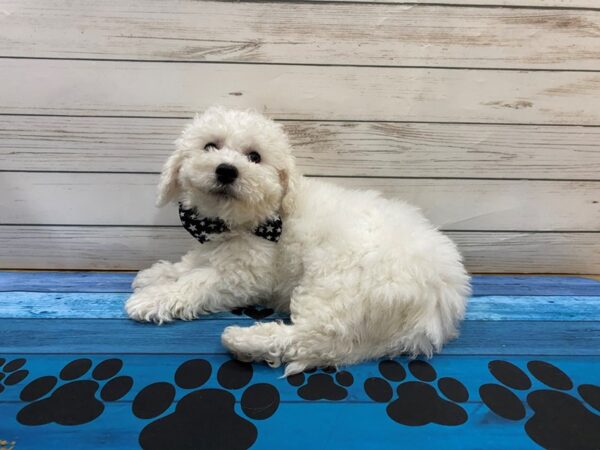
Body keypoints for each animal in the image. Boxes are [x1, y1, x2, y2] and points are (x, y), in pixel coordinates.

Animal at [124, 106, 472, 376]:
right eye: (210, 146)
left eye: (255, 157)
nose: (227, 170)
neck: (240, 220)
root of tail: (441, 298)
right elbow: (193, 263)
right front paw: (158, 274)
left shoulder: (245, 275)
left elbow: (198, 282)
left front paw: (153, 299)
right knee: (334, 348)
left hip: (336, 282)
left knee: (318, 334)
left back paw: (244, 341)